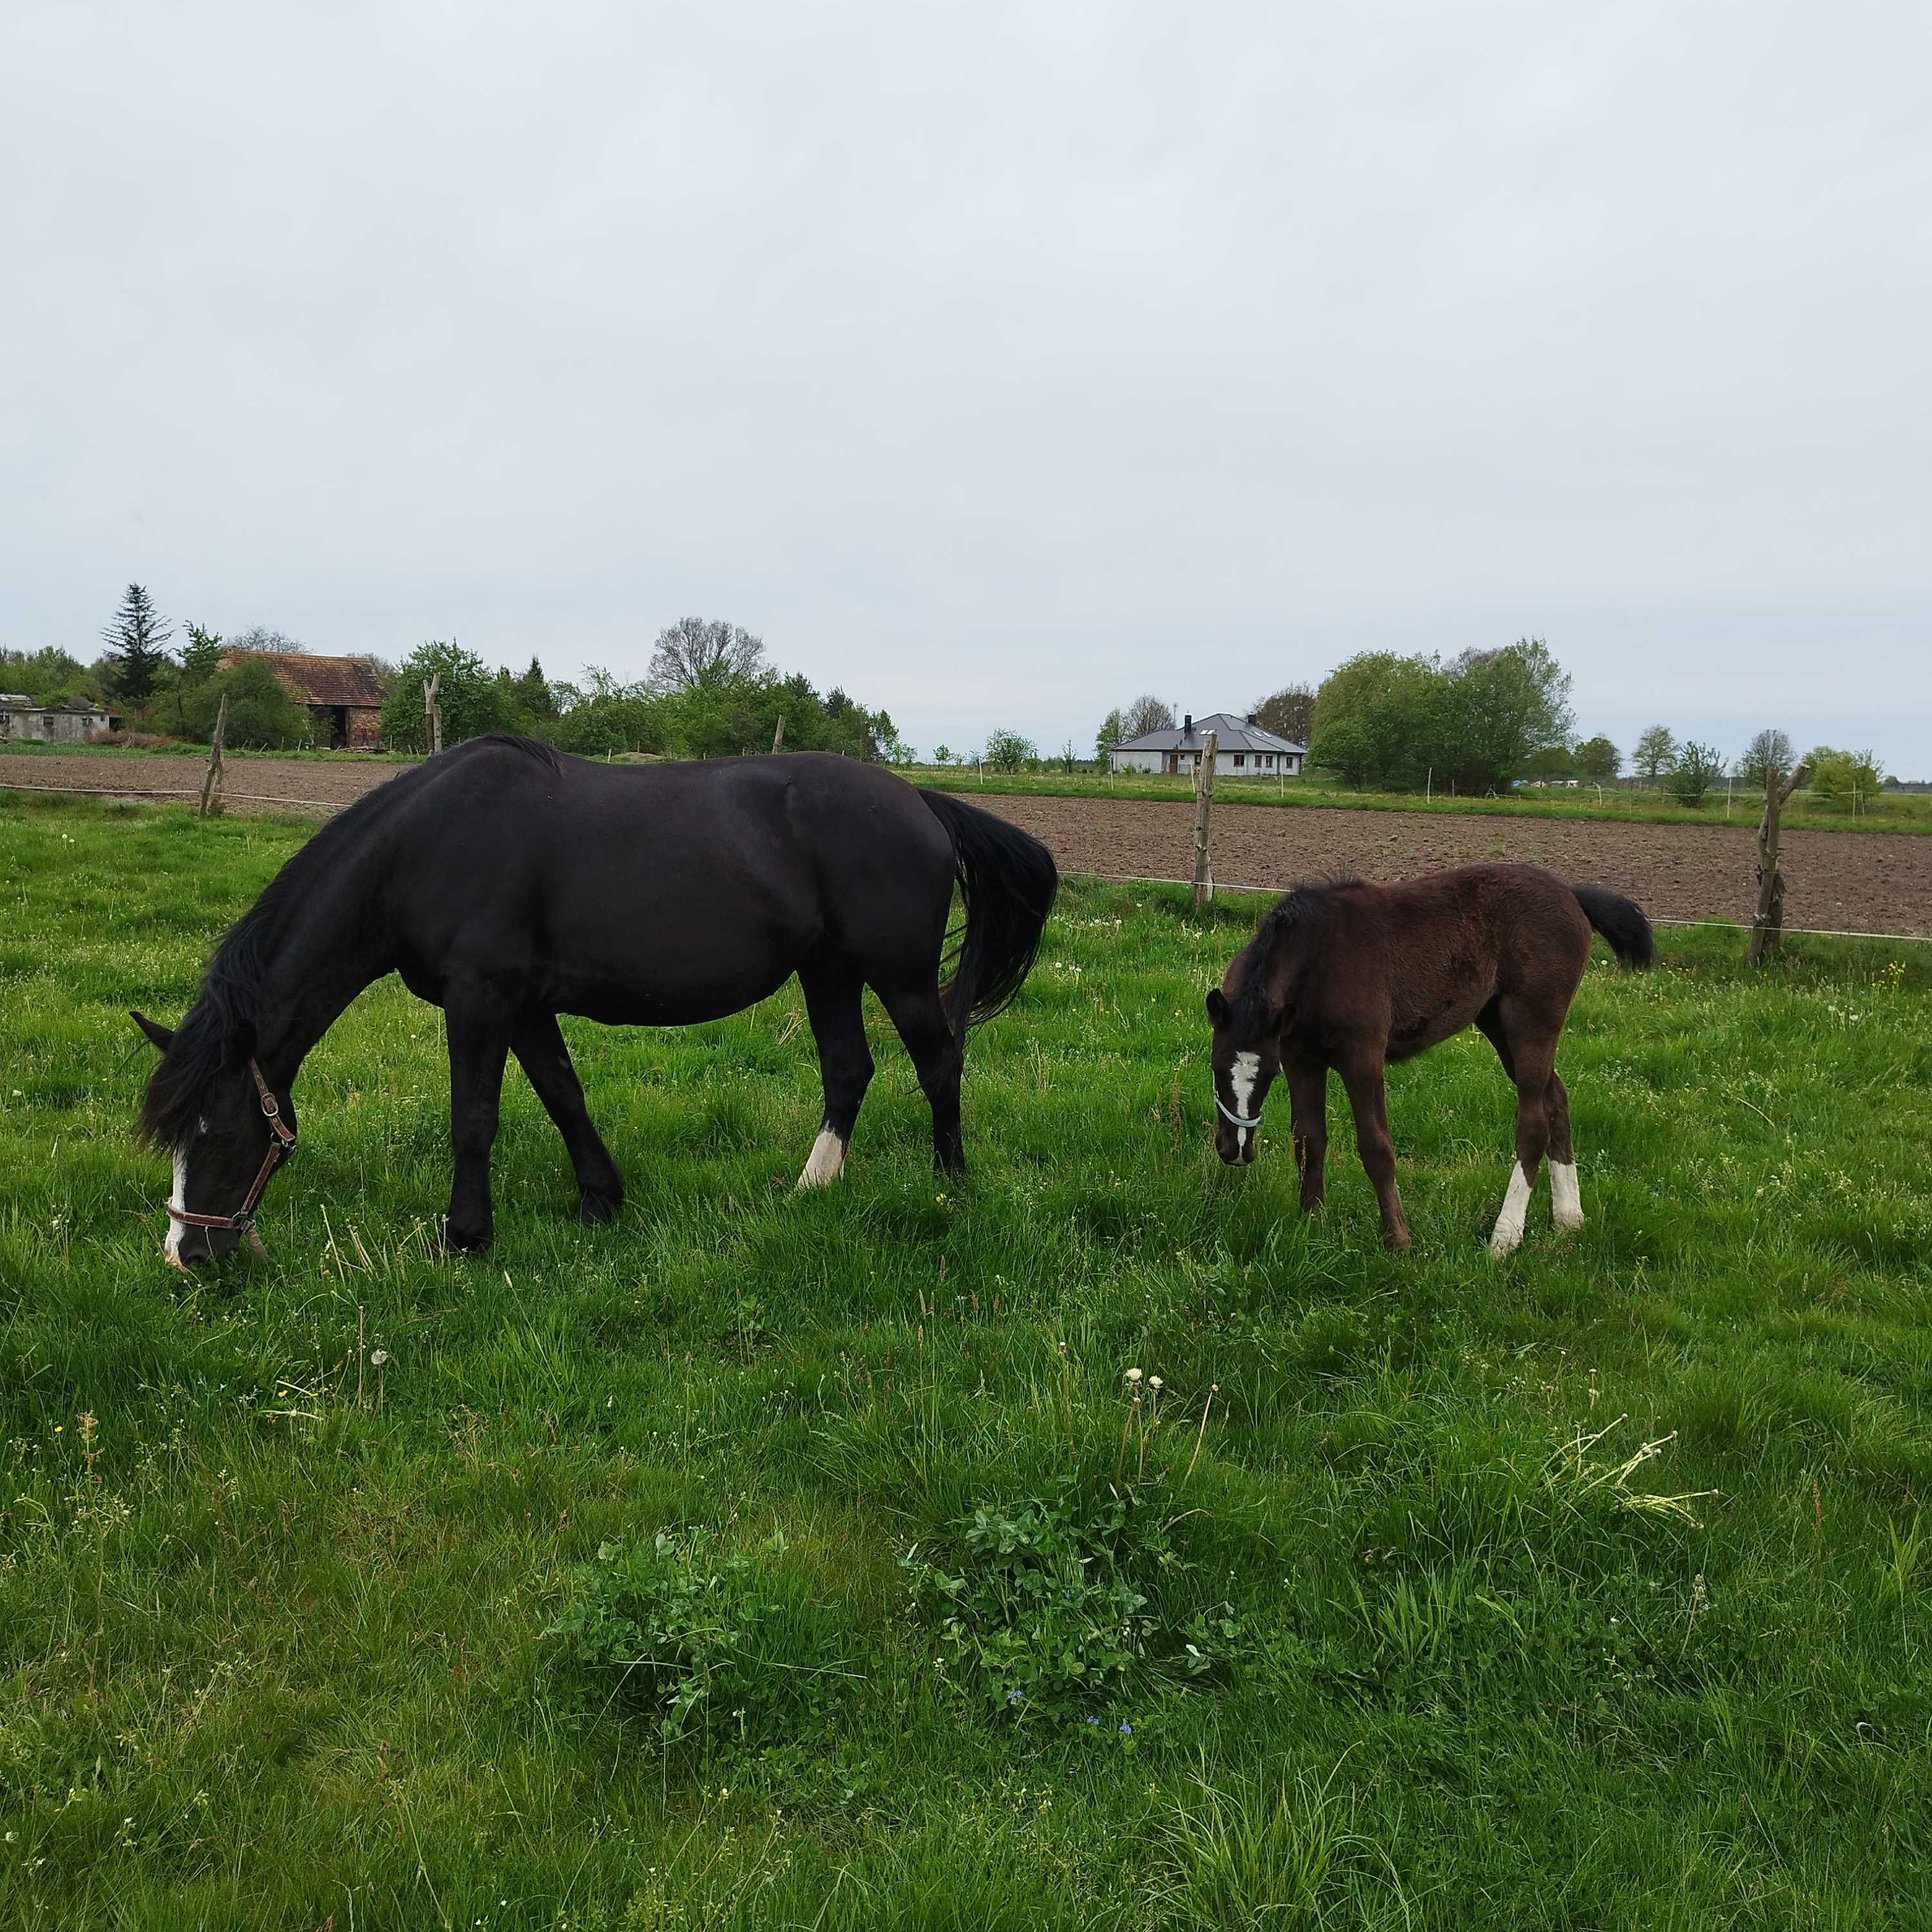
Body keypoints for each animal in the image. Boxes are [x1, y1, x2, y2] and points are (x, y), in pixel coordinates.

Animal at [132, 730, 1059, 1260]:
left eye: (221, 1132)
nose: (188, 1256)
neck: (425, 847)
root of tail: (921, 802)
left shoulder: (481, 999)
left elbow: (475, 1118)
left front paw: (466, 1236)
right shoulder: (525, 1005)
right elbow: (564, 1095)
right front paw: (600, 1202)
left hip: (895, 973)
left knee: (938, 1061)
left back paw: (949, 1182)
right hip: (827, 971)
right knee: (848, 1070)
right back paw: (811, 1189)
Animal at [1206, 862, 1646, 1252]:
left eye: (1267, 1076)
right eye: (1215, 1069)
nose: (1236, 1150)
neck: (1320, 956)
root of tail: (1571, 893)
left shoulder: (1362, 1055)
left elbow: (1376, 1146)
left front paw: (1398, 1241)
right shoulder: (1302, 1058)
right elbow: (1309, 1138)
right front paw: (1312, 1223)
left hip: (1532, 1022)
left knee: (1534, 1121)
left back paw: (1505, 1238)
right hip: (1498, 1023)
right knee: (1556, 1099)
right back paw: (1569, 1219)